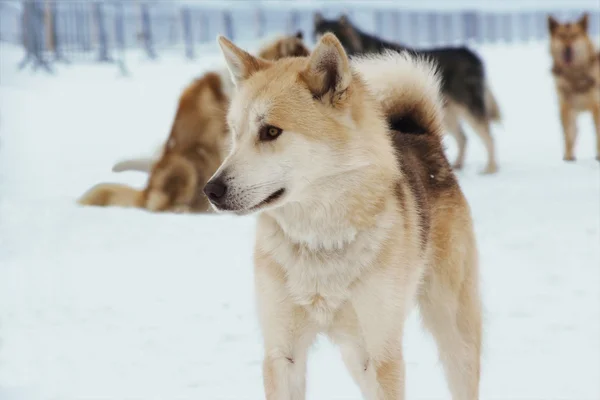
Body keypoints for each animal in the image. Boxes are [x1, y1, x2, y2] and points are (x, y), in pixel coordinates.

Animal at [206, 32, 482, 398]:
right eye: (235, 134)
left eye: (270, 132)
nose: (210, 190)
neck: (319, 239)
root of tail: (419, 134)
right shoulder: (282, 353)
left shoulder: (382, 354)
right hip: (356, 355)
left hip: (452, 334)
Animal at [314, 13, 502, 173]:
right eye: (317, 34)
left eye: (333, 33)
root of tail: (469, 52)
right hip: (447, 113)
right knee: (463, 137)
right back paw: (458, 165)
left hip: (468, 108)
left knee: (489, 137)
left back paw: (490, 168)